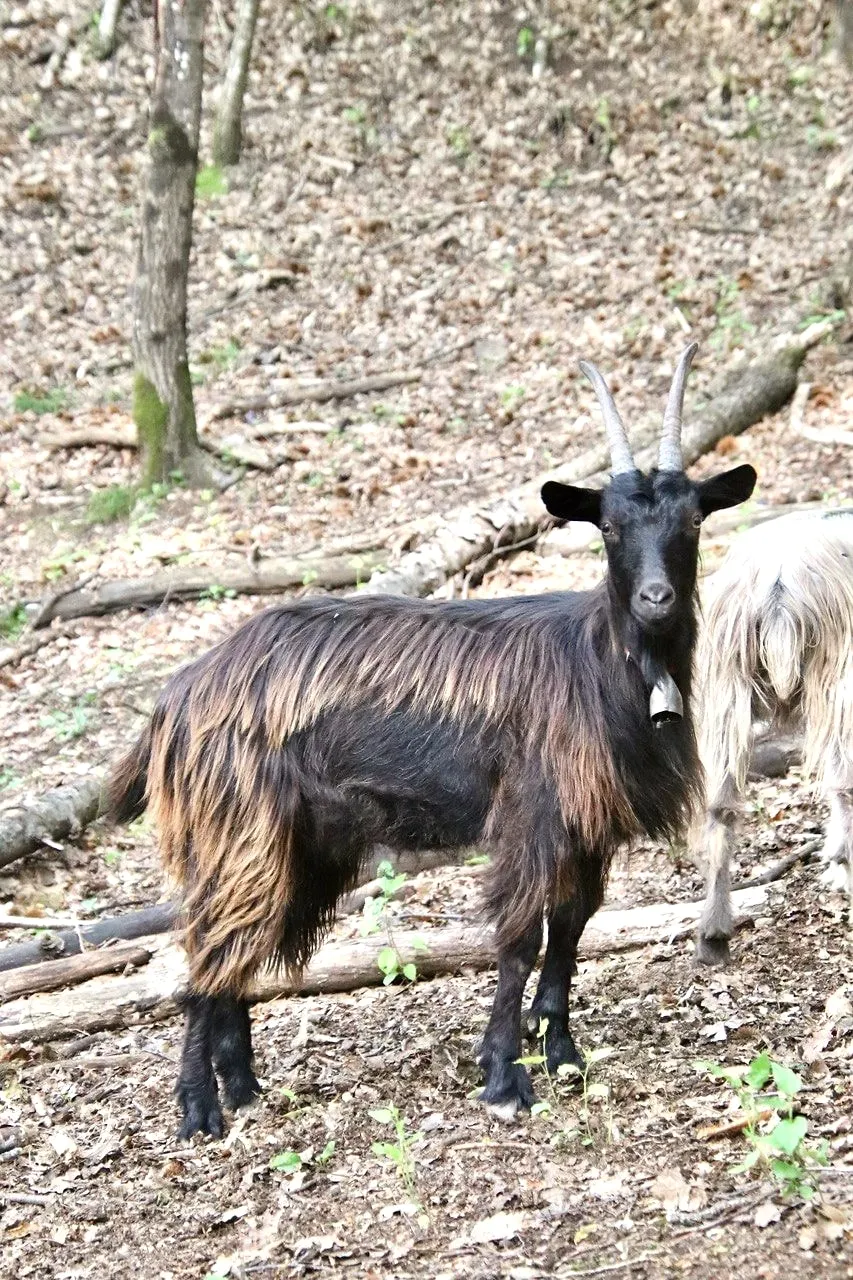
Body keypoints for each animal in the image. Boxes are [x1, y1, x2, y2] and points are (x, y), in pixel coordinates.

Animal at [108, 343, 756, 1138]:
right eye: (606, 526)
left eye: (693, 520)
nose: (655, 598)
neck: (598, 664)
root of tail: (177, 696)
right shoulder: (532, 813)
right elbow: (520, 939)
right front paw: (505, 1076)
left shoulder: (587, 827)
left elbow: (571, 930)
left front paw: (562, 1053)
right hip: (241, 829)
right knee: (207, 949)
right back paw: (200, 1111)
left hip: (290, 841)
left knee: (232, 947)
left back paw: (244, 1088)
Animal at [695, 508, 853, 965]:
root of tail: (779, 579)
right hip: (836, 671)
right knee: (848, 783)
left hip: (725, 684)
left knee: (720, 805)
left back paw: (713, 936)